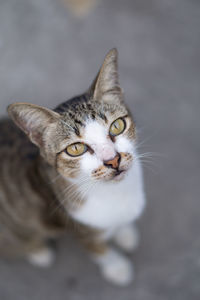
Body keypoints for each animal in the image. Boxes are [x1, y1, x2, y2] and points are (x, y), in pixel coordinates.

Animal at [0, 49, 146, 286]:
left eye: (117, 126)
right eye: (76, 148)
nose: (113, 160)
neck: (114, 192)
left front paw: (125, 231)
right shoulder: (79, 228)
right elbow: (99, 250)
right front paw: (116, 267)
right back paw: (38, 251)